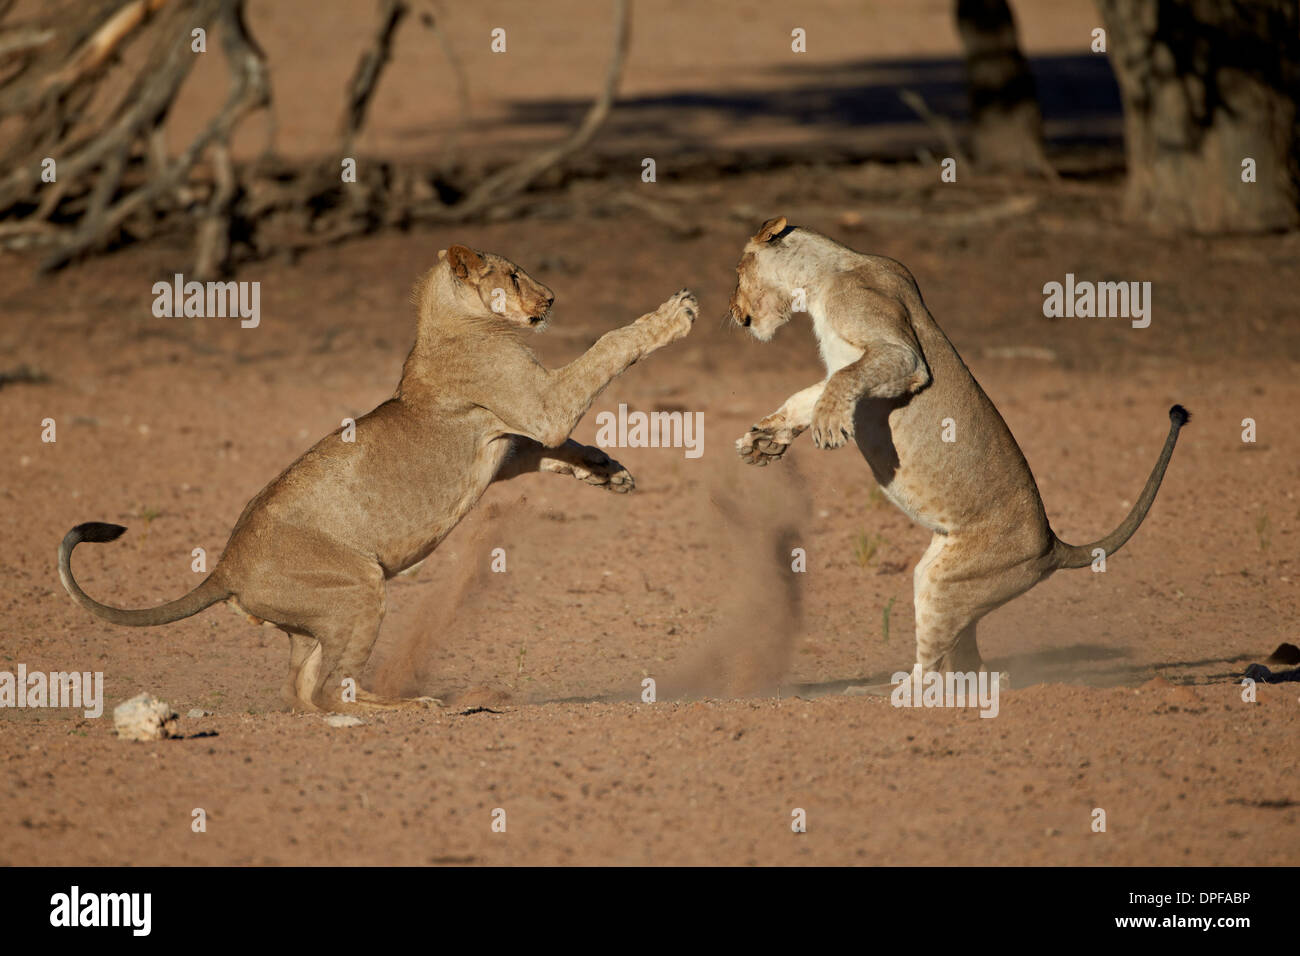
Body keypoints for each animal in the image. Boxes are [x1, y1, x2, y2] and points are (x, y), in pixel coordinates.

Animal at [59, 245, 698, 712]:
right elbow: (606, 348)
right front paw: (675, 314)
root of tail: (224, 569)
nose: (552, 298)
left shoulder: (509, 439)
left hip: (313, 620)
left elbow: (556, 449)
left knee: (301, 689)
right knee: (333, 687)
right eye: (515, 276)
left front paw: (609, 472)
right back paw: (406, 706)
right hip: (360, 584)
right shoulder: (540, 405)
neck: (458, 321)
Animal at [729, 217, 1188, 677]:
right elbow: (806, 398)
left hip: (945, 584)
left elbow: (842, 384)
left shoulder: (898, 351)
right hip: (945, 578)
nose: (731, 313)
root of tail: (1052, 545)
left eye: (737, 272)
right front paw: (763, 441)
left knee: (933, 667)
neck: (823, 277)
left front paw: (822, 427)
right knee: (965, 660)